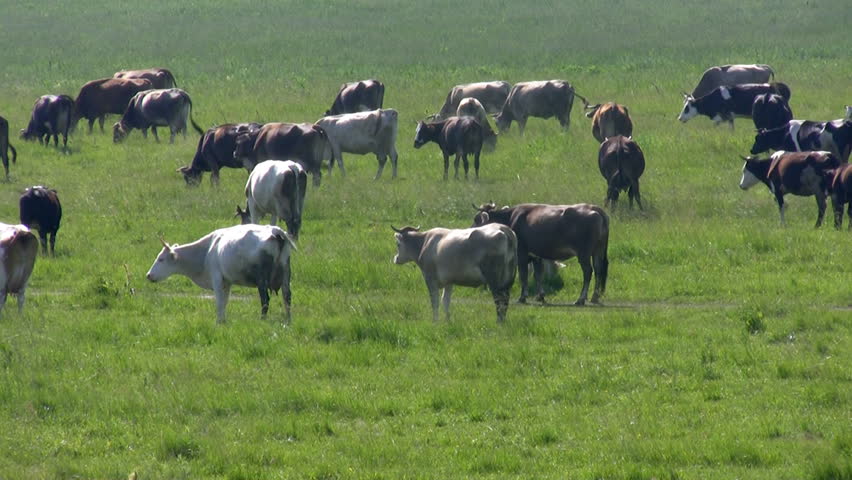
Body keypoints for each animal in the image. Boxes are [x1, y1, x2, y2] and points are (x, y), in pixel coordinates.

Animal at [146, 225, 296, 324]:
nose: (148, 275)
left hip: (262, 280)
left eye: (161, 259)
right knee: (287, 297)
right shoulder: (227, 282)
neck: (207, 251)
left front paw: (219, 321)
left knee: (265, 300)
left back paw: (262, 320)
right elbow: (225, 300)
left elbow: (219, 301)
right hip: (286, 273)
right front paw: (223, 320)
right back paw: (288, 320)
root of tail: (274, 231)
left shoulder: (217, 278)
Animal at [472, 202, 609, 306]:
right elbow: (538, 276)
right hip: (598, 250)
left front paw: (522, 297)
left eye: (476, 219)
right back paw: (595, 297)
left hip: (584, 253)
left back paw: (581, 299)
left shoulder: (521, 254)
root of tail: (594, 208)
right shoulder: (536, 256)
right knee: (598, 270)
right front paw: (541, 296)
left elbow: (523, 276)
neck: (511, 218)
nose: (472, 229)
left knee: (588, 272)